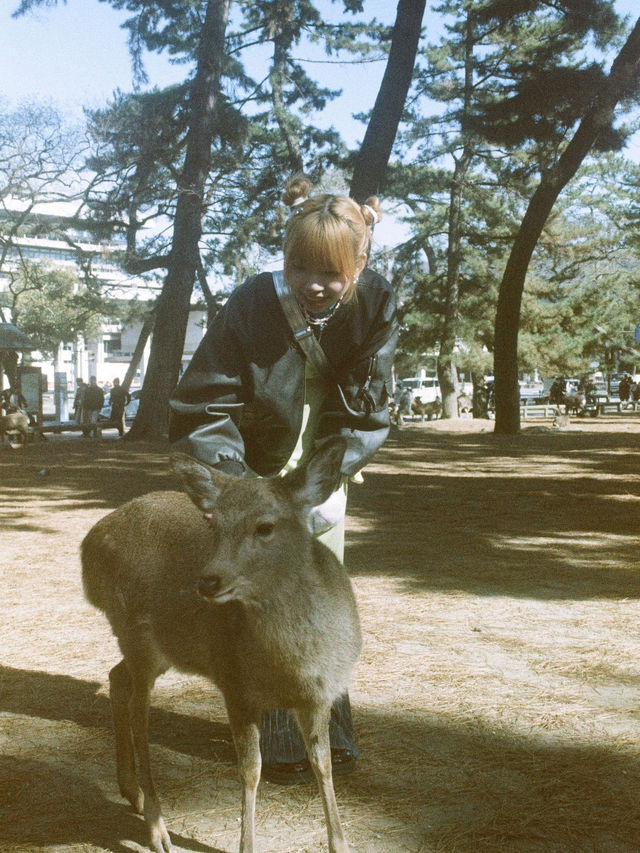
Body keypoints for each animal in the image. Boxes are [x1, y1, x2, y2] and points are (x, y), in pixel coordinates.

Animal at [80, 436, 360, 852]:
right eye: (213, 525)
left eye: (265, 526)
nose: (208, 581)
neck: (293, 667)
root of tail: (88, 546)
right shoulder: (234, 685)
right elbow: (250, 771)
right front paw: (247, 844)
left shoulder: (320, 694)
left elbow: (322, 765)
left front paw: (340, 842)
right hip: (134, 632)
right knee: (138, 715)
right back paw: (157, 826)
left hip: (164, 646)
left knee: (116, 678)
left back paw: (132, 793)